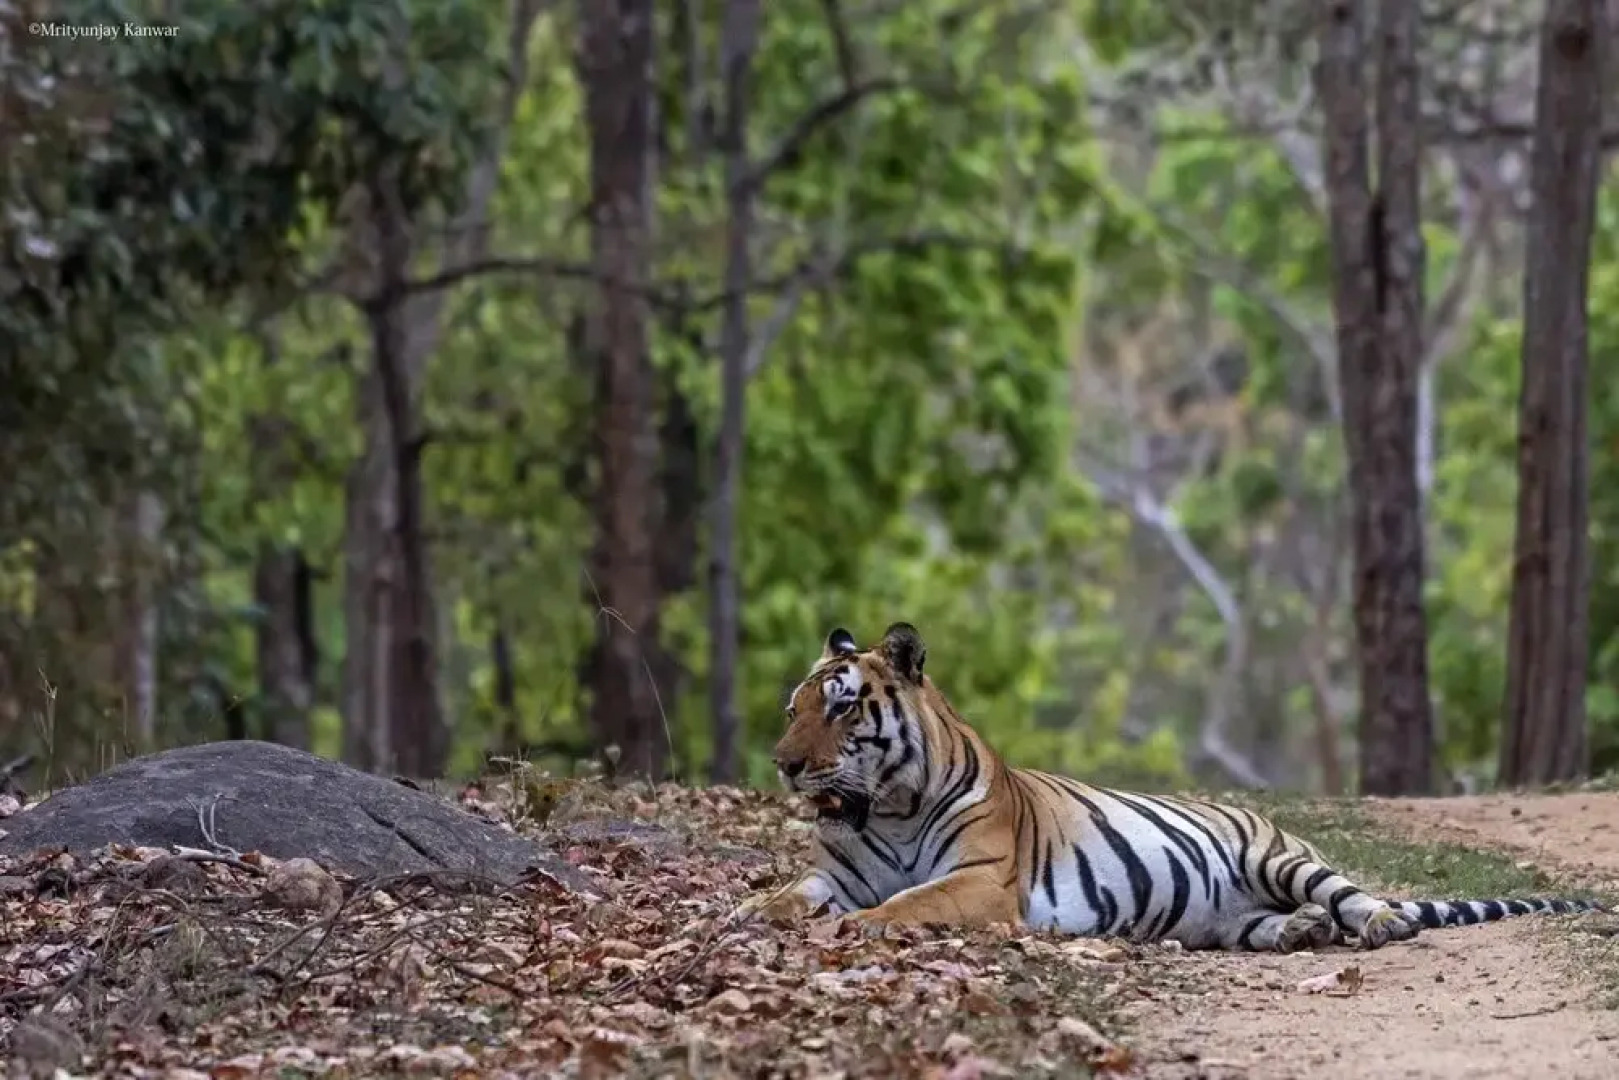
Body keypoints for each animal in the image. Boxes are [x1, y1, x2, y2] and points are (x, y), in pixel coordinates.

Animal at [736, 622, 1607, 951]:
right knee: (1269, 925)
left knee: (1352, 896)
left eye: (842, 706)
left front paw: (864, 927)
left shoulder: (981, 881)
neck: (885, 809)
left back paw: (1377, 923)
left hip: (1281, 859)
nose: (782, 762)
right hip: (1221, 918)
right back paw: (1299, 934)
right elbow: (791, 892)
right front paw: (746, 914)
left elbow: (907, 902)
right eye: (793, 708)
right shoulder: (839, 872)